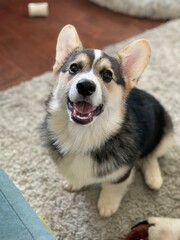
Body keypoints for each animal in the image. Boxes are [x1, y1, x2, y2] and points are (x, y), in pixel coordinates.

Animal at [43, 25, 174, 218]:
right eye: (73, 68)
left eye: (107, 75)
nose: (85, 86)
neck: (83, 134)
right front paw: (73, 183)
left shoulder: (121, 173)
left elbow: (112, 187)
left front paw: (107, 206)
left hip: (166, 134)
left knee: (151, 155)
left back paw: (154, 178)